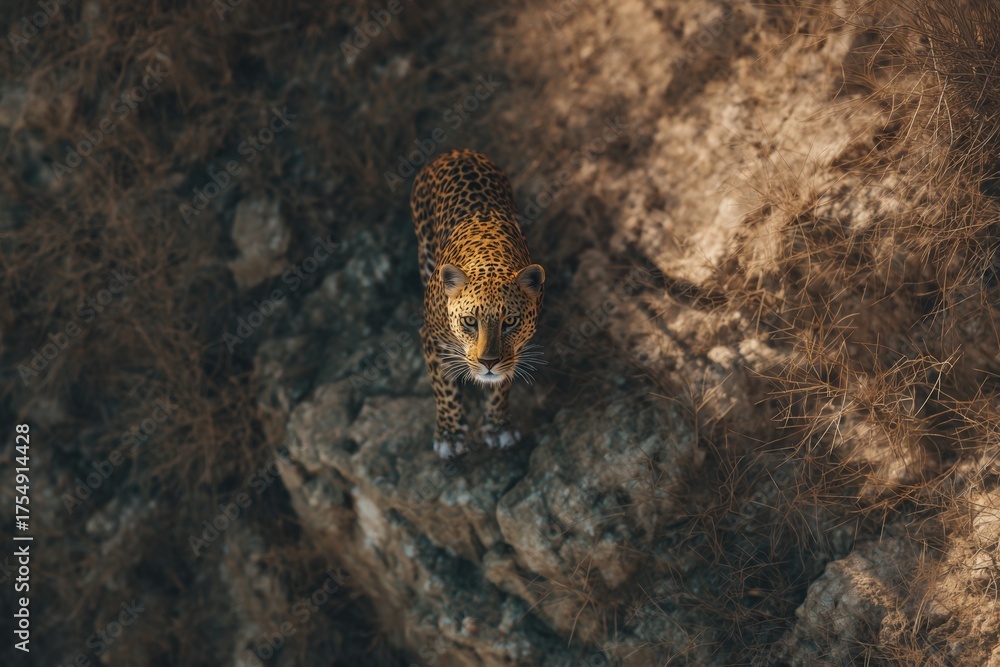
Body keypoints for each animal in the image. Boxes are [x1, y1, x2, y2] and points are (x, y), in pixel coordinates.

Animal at [410, 149, 545, 459]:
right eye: (469, 321)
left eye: (510, 322)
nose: (488, 362)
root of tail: (456, 152)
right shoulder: (431, 337)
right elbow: (443, 386)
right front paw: (450, 435)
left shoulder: (514, 350)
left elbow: (500, 385)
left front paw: (497, 427)